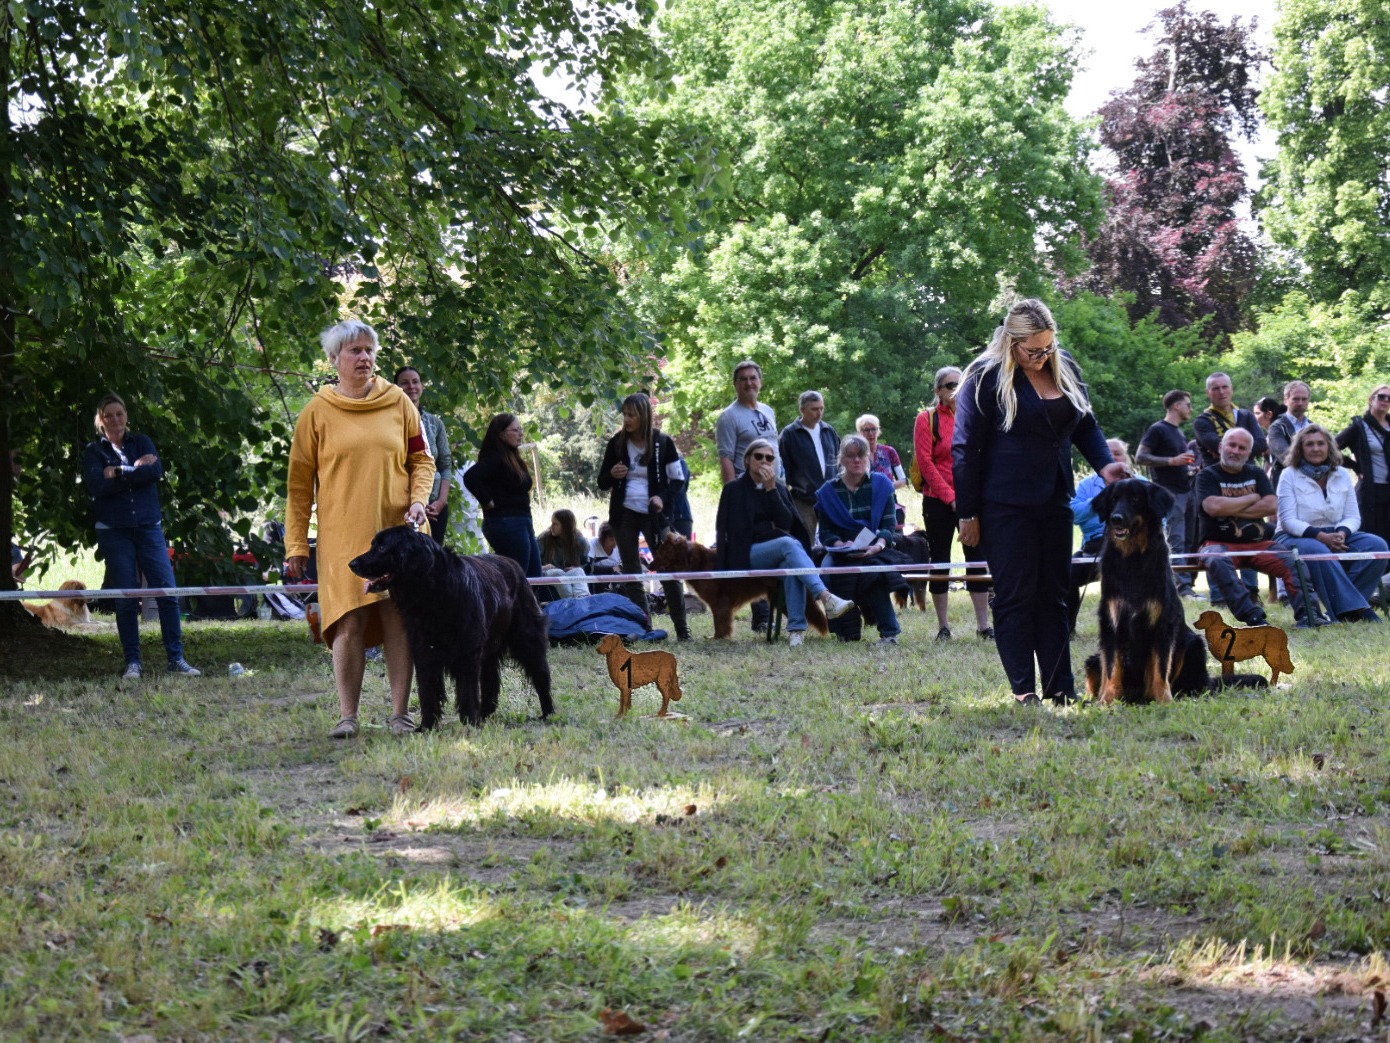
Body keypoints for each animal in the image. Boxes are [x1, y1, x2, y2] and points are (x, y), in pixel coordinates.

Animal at [349, 526, 554, 728]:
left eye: (382, 548)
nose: (352, 564)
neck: (433, 593)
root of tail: (514, 564)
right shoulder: (424, 651)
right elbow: (427, 691)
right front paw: (427, 726)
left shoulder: (467, 653)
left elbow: (466, 691)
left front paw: (469, 722)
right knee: (491, 681)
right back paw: (484, 713)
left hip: (527, 641)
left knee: (541, 676)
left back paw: (548, 713)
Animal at [648, 532, 828, 639]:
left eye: (660, 553)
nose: (649, 565)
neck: (693, 559)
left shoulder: (719, 602)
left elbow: (720, 622)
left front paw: (718, 638)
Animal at [1082, 480, 1262, 704]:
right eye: (1114, 499)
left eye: (1135, 499)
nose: (1116, 518)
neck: (1132, 558)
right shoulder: (1111, 624)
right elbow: (1112, 669)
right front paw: (1107, 701)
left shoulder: (1162, 625)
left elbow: (1160, 669)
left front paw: (1164, 701)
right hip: (1092, 660)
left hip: (1194, 645)